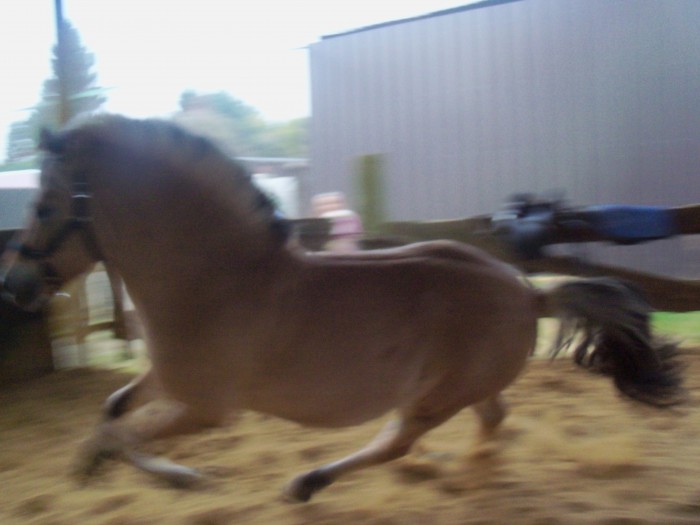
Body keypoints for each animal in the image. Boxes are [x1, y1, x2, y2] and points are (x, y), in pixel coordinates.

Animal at [0, 115, 683, 502]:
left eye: (45, 206)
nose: (15, 286)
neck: (215, 280)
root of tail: (527, 289)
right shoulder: (167, 379)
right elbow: (113, 410)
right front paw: (133, 470)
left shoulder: (205, 407)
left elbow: (121, 433)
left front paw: (144, 473)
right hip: (462, 387)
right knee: (493, 420)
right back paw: (466, 475)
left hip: (434, 398)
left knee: (399, 442)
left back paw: (310, 483)